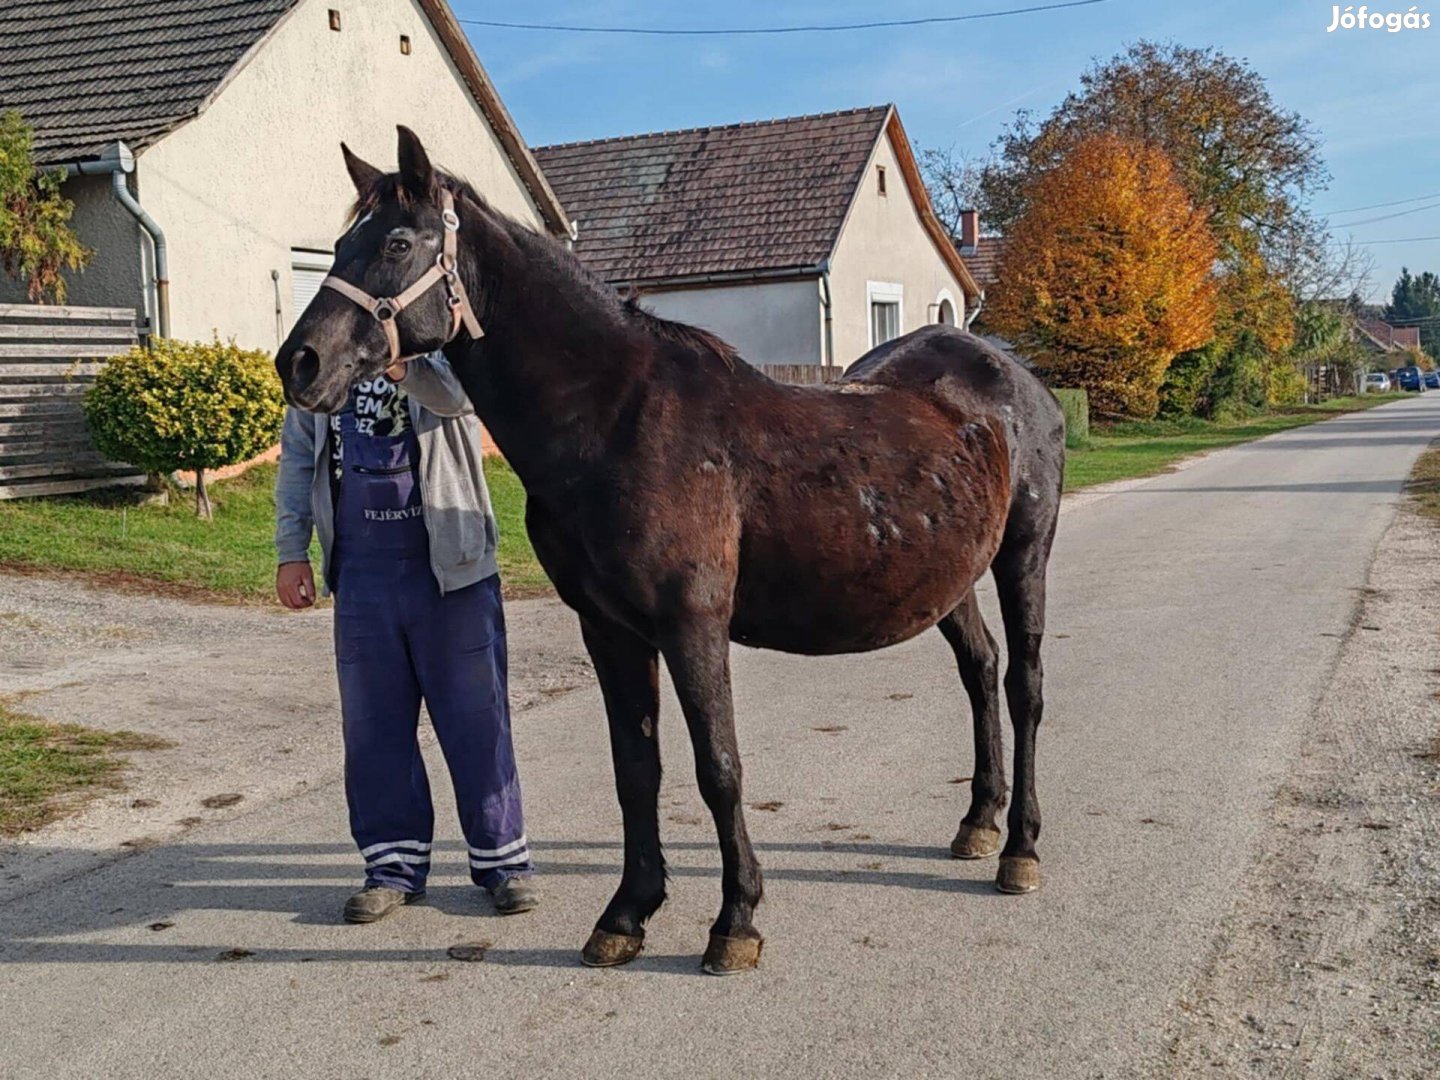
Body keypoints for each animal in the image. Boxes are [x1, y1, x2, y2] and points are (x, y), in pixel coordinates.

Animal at [280, 128, 1065, 979]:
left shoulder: (692, 623)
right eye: (338, 247)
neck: (613, 417)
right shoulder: (610, 629)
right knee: (980, 670)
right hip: (947, 578)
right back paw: (978, 822)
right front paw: (627, 914)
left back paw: (1019, 849)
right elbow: (637, 771)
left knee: (1023, 687)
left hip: (1024, 555)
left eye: (396, 242)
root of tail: (1012, 377)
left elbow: (718, 769)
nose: (300, 363)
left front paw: (736, 920)